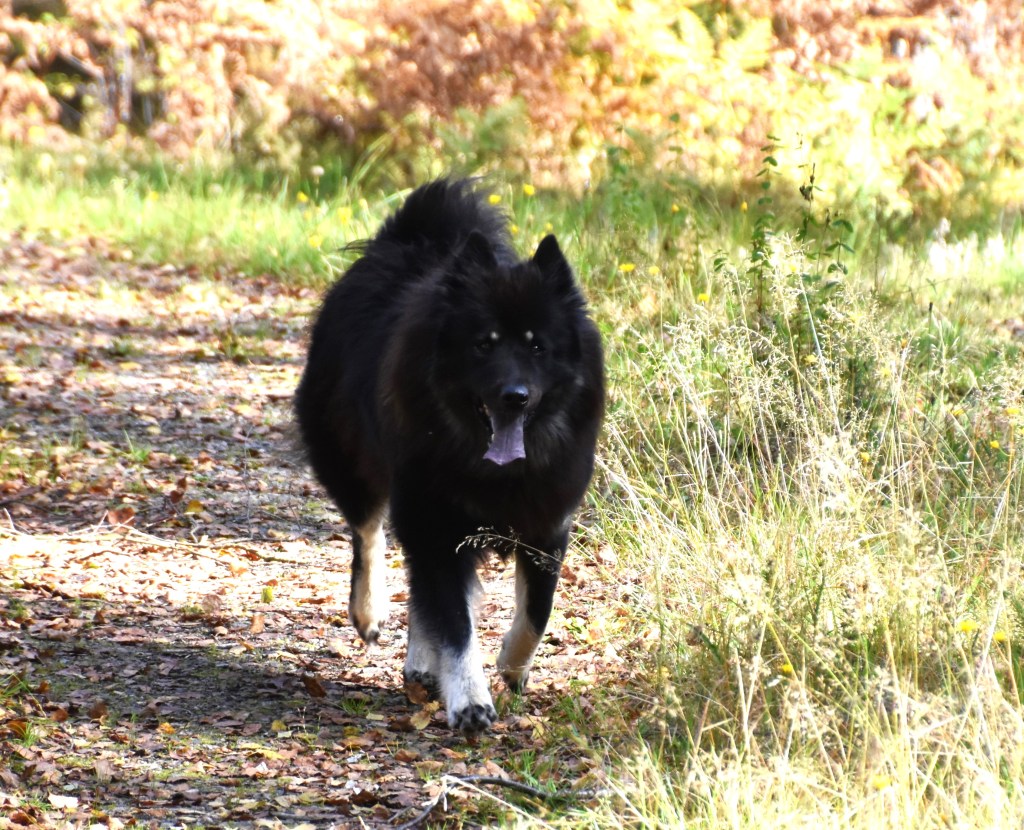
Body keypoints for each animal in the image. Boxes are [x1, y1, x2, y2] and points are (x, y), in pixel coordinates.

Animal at [295, 178, 604, 734]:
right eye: (485, 344)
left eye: (538, 347)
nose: (514, 396)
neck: (495, 469)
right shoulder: (434, 520)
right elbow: (456, 626)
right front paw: (470, 700)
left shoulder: (547, 524)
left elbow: (537, 611)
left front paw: (511, 665)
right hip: (352, 461)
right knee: (369, 535)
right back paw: (371, 614)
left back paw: (420, 663)